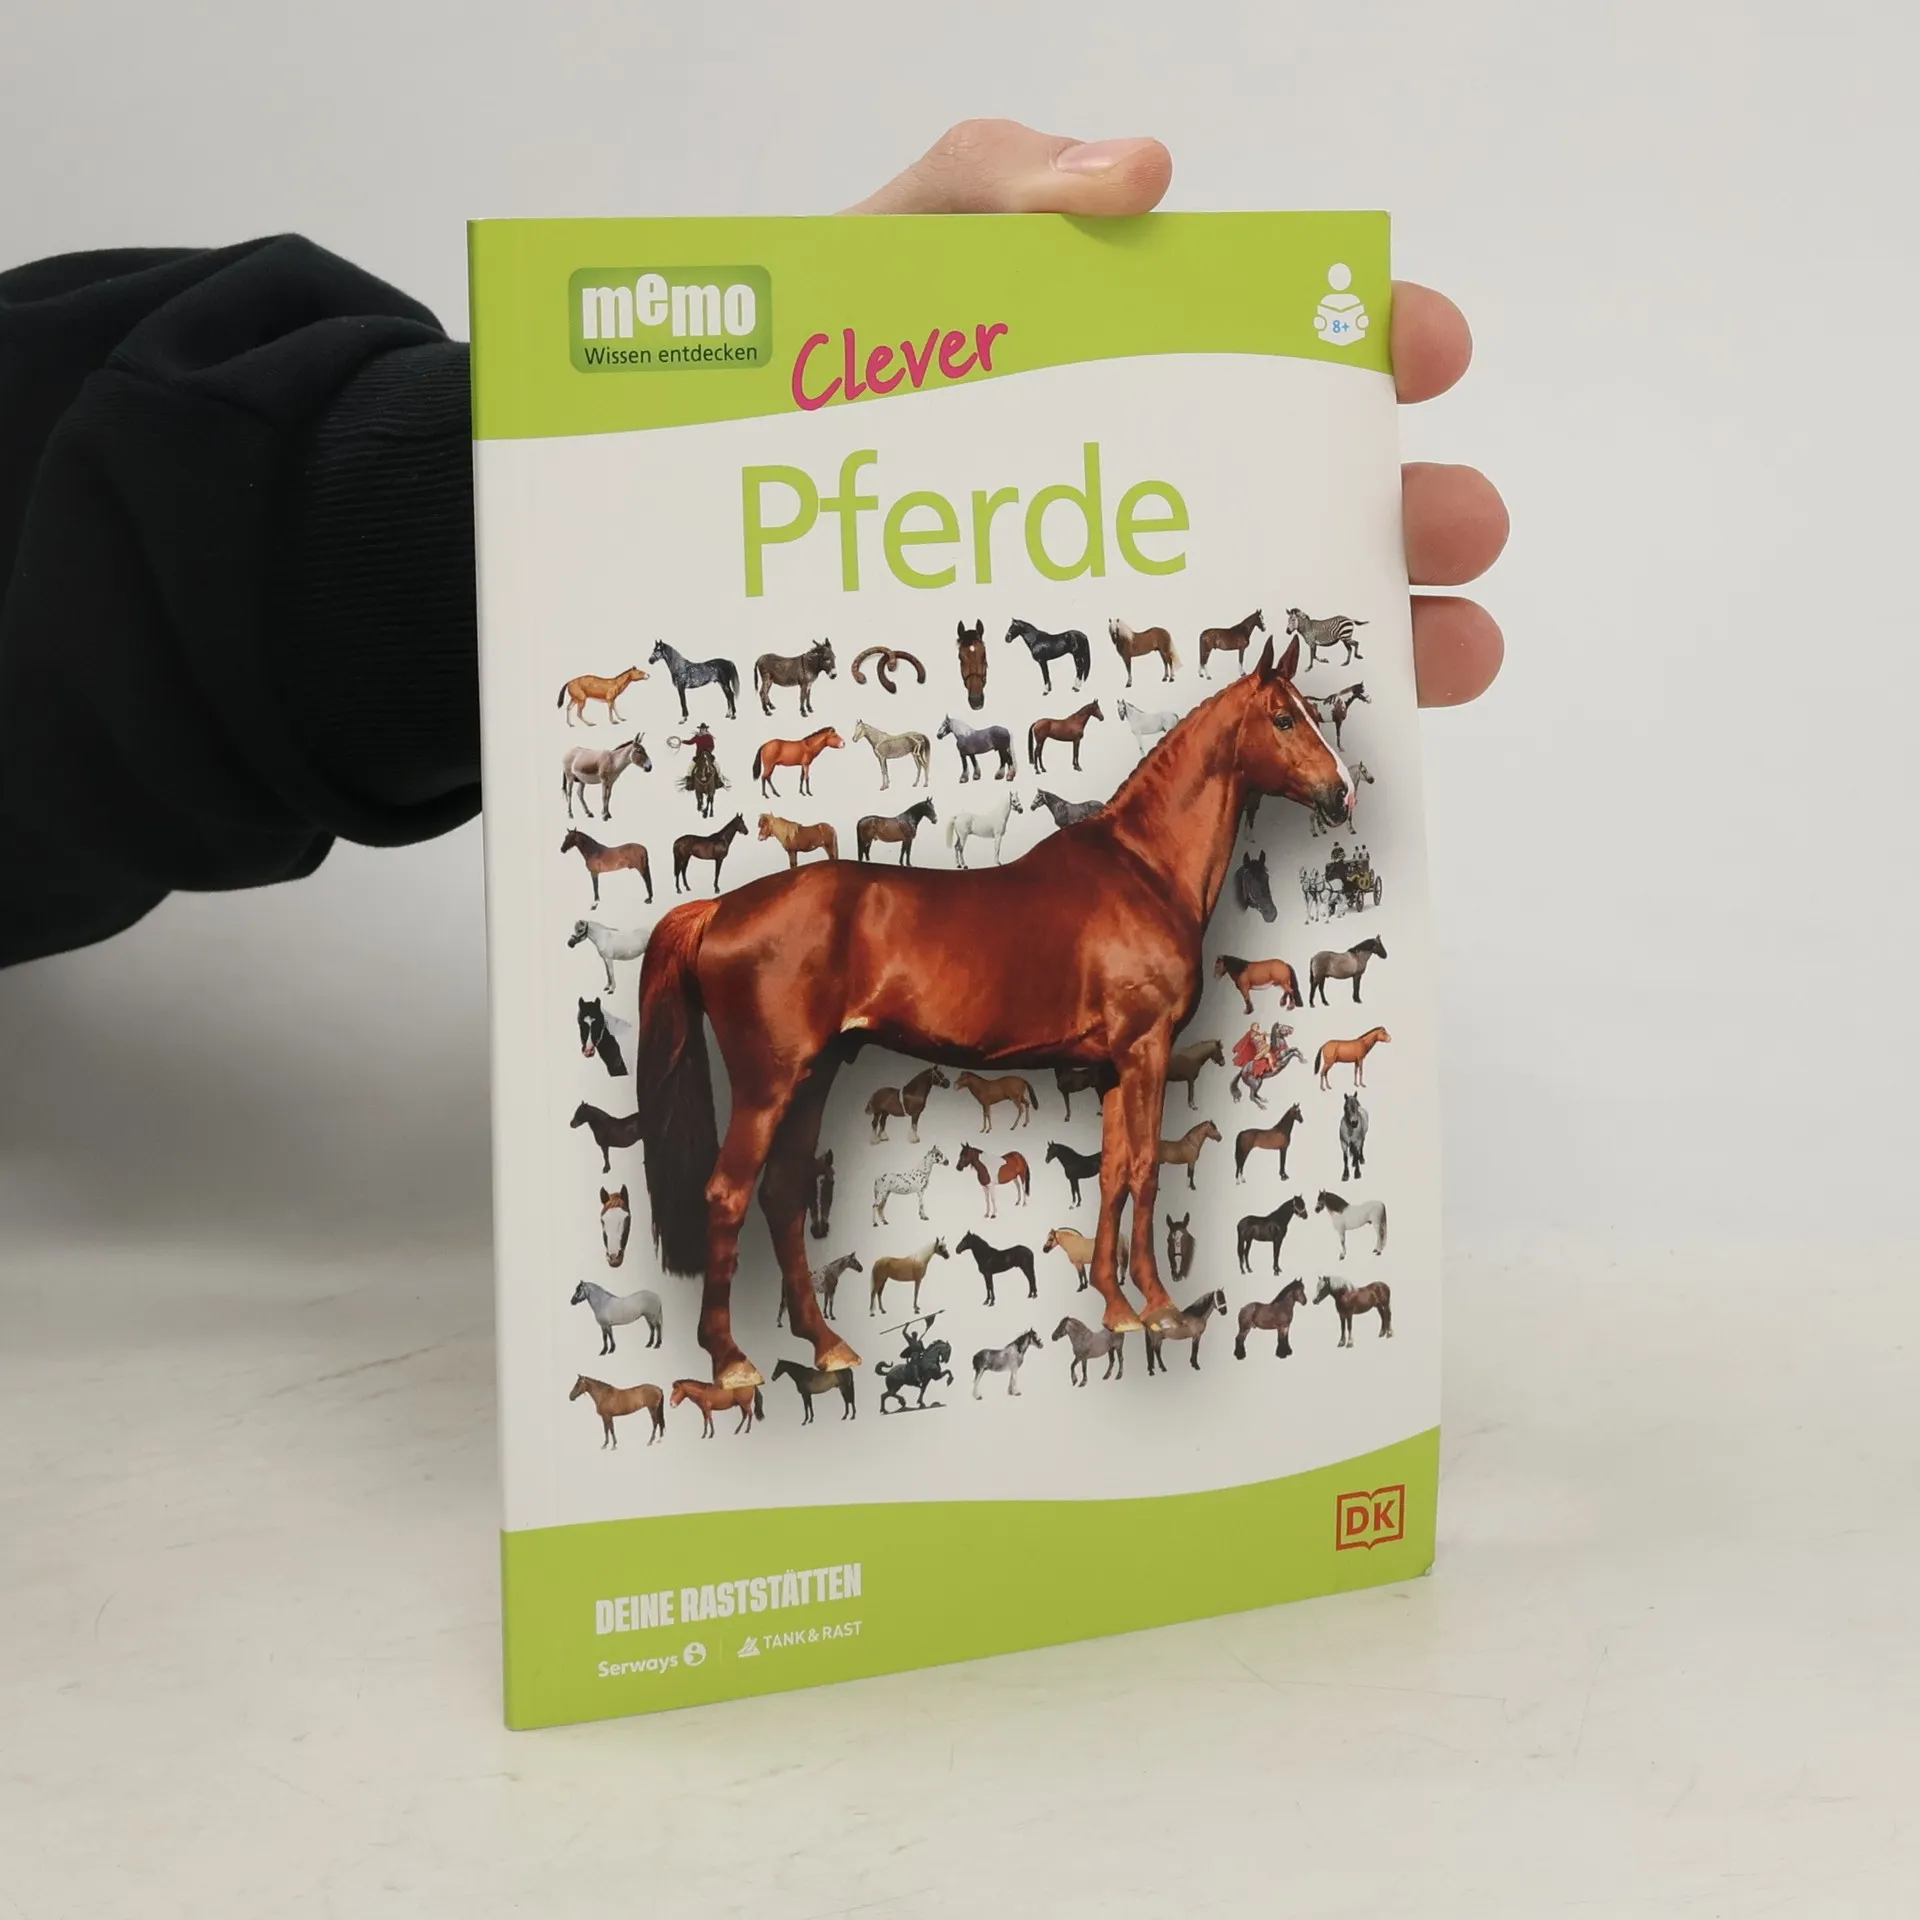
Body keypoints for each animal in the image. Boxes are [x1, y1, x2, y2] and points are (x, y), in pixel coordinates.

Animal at [631, 636, 1351, 1388]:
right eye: (1284, 718)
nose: (1343, 792)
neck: (1143, 870)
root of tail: (717, 907)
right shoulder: (1145, 1050)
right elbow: (1148, 1171)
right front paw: (1159, 1308)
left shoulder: (1113, 1068)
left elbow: (1115, 1173)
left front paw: (1116, 1304)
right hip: (768, 1086)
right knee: (728, 1195)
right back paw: (731, 1361)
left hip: (812, 1077)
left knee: (781, 1198)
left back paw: (827, 1344)